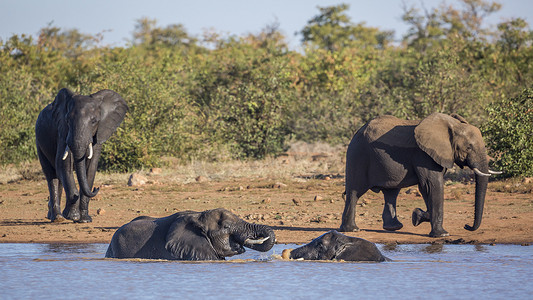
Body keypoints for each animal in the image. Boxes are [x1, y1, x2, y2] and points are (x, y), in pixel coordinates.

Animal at [35, 88, 128, 221]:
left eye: (94, 121)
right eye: (68, 120)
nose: (96, 188)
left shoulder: (97, 135)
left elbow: (91, 168)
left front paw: (84, 219)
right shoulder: (62, 131)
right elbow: (63, 165)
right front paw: (73, 217)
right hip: (39, 142)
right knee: (51, 175)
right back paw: (58, 217)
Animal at [338, 112, 500, 237]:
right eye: (469, 147)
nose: (467, 226)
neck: (452, 126)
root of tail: (357, 132)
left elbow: (426, 188)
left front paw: (417, 216)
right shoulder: (423, 156)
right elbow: (433, 185)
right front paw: (442, 234)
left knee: (391, 192)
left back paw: (394, 228)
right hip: (358, 155)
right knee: (355, 192)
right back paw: (352, 230)